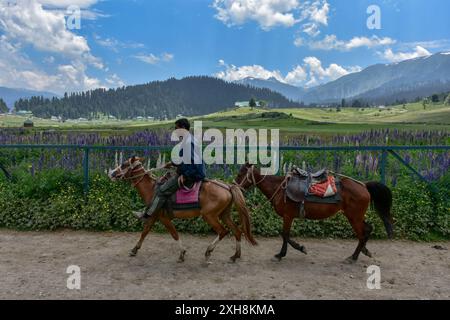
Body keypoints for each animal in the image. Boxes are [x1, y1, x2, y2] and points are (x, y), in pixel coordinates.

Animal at [109, 156, 256, 264]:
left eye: (124, 164)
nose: (111, 173)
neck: (153, 189)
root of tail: (228, 187)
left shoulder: (163, 218)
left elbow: (174, 234)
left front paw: (182, 254)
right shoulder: (154, 216)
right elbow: (144, 232)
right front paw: (134, 250)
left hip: (209, 216)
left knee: (223, 231)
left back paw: (208, 252)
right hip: (224, 214)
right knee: (237, 231)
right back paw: (235, 256)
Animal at [234, 165, 392, 262]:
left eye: (241, 173)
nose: (234, 186)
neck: (280, 188)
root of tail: (364, 185)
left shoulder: (288, 216)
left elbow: (285, 235)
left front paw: (284, 253)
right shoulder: (289, 217)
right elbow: (286, 235)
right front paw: (295, 249)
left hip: (354, 217)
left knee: (363, 233)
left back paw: (353, 257)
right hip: (354, 217)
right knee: (366, 230)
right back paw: (363, 251)